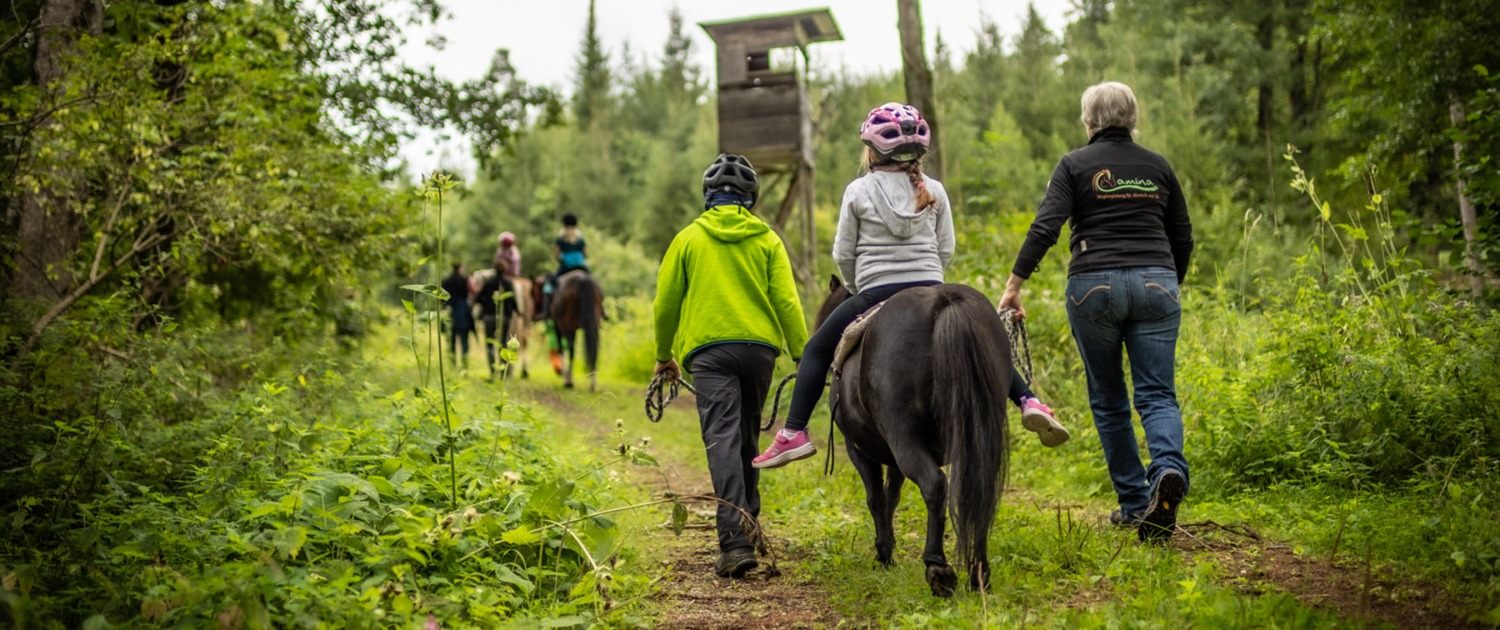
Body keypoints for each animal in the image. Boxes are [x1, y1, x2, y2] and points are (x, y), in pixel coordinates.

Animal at [816, 274, 1014, 597]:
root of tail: (943, 302)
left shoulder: (859, 449)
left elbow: (875, 497)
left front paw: (884, 553)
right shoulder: (892, 457)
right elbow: (892, 495)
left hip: (904, 437)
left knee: (934, 486)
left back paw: (937, 567)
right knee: (979, 492)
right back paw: (979, 573)